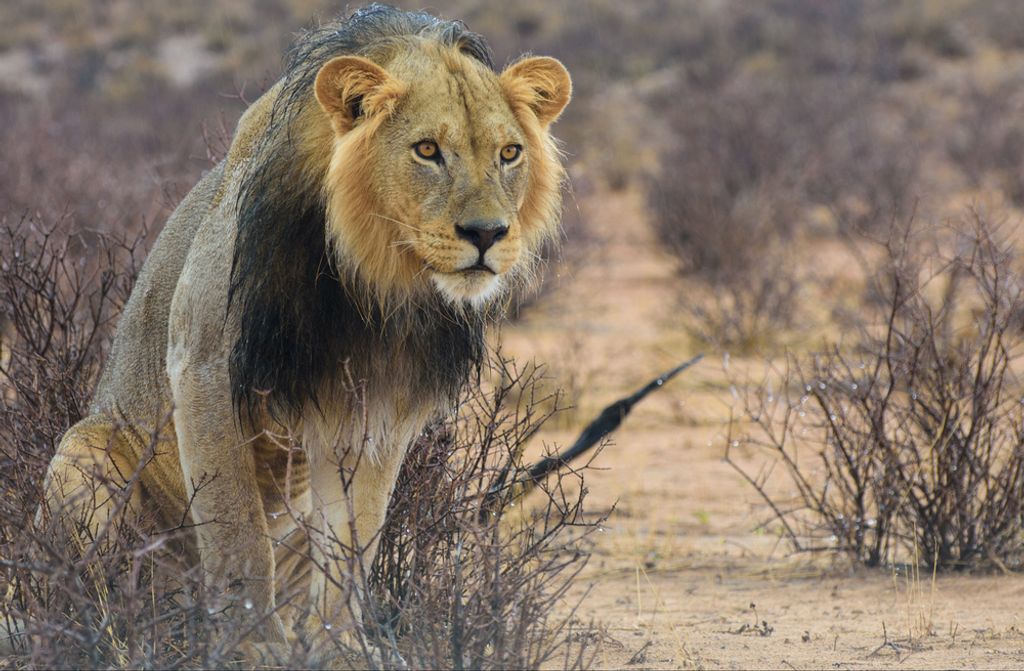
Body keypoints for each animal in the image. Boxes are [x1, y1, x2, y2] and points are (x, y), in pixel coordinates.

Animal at [37, 3, 570, 664]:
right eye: (427, 150)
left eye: (509, 153)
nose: (487, 233)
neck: (372, 279)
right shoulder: (203, 366)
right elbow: (238, 535)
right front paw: (252, 648)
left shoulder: (378, 408)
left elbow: (355, 543)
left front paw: (343, 650)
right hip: (82, 455)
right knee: (88, 592)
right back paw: (111, 635)